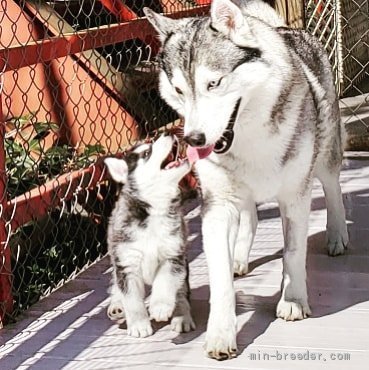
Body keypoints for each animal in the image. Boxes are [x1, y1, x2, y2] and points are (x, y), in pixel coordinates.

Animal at [104, 136, 196, 338]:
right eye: (147, 153)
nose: (167, 134)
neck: (154, 209)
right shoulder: (127, 262)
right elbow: (132, 299)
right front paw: (139, 325)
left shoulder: (172, 255)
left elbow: (165, 282)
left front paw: (160, 307)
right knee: (116, 285)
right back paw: (117, 305)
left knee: (181, 293)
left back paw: (182, 316)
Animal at [144, 0, 348, 358]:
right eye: (179, 90)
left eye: (214, 83)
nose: (194, 140)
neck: (250, 137)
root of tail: (284, 29)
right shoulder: (217, 206)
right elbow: (220, 279)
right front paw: (221, 334)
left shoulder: (295, 197)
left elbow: (293, 252)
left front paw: (293, 300)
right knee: (249, 216)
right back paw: (239, 256)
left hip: (325, 158)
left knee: (333, 188)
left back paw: (337, 236)